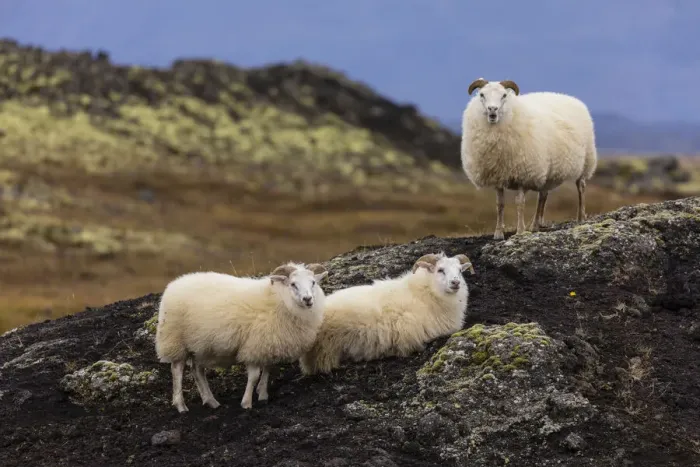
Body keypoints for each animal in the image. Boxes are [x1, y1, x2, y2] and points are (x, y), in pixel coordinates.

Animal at [155, 261, 329, 412]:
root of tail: (174, 284)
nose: (308, 299)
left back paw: (211, 401)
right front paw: (247, 403)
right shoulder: (253, 346)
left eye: (313, 282)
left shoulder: (267, 344)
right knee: (177, 370)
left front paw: (263, 394)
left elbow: (267, 369)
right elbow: (254, 376)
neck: (279, 299)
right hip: (175, 340)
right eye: (293, 284)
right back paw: (181, 406)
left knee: (197, 371)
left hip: (200, 345)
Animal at [460, 78, 598, 240]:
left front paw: (520, 231)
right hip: (548, 171)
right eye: (482, 94)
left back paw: (580, 217)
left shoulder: (523, 174)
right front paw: (498, 233)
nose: (492, 109)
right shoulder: (499, 175)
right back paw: (536, 225)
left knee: (581, 187)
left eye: (504, 95)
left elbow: (520, 203)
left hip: (586, 161)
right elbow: (500, 204)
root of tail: (572, 98)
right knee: (543, 196)